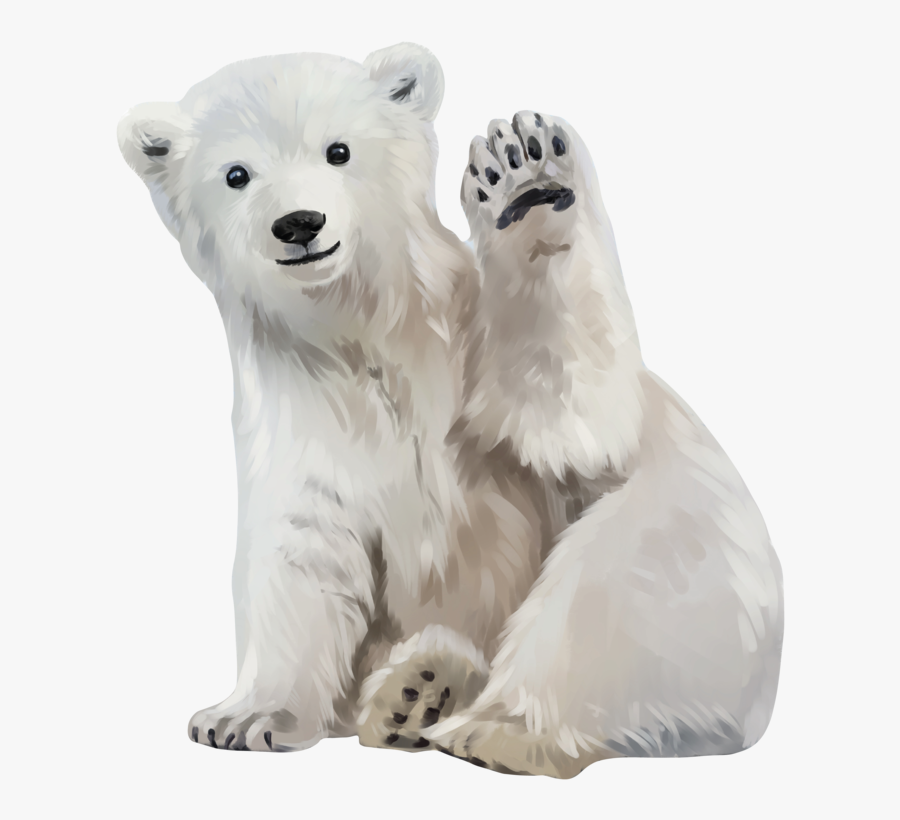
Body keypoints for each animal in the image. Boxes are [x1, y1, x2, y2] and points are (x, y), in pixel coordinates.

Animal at [118, 42, 783, 777]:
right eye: (237, 174)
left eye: (338, 151)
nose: (298, 224)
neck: (362, 330)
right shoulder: (301, 407)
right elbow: (302, 552)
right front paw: (245, 717)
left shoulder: (470, 356)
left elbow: (567, 422)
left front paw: (524, 182)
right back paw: (416, 693)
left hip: (700, 588)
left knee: (610, 585)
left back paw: (496, 728)